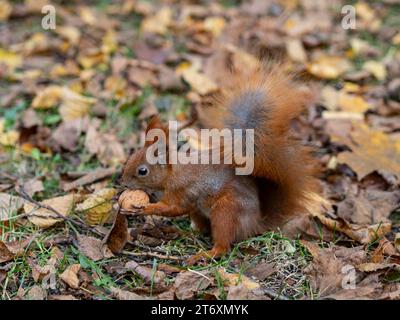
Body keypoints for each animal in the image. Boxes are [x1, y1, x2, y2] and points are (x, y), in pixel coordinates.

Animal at [120, 63, 320, 264]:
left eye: (142, 171)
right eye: (130, 157)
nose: (123, 183)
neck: (171, 174)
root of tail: (255, 223)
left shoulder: (182, 191)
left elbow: (173, 208)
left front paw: (144, 208)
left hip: (225, 212)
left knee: (223, 246)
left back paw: (202, 255)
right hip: (200, 211)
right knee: (200, 231)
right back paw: (175, 231)